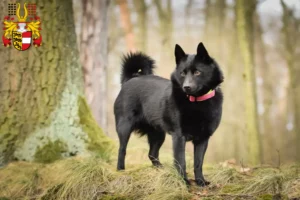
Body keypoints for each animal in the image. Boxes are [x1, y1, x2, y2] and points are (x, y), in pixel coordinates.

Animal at [114, 42, 223, 186]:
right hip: (124, 127)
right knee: (122, 150)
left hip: (158, 133)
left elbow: (198, 163)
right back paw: (121, 170)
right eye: (182, 73)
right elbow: (181, 161)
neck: (196, 101)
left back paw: (161, 170)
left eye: (197, 72)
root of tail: (130, 79)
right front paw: (184, 181)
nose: (186, 87)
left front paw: (200, 181)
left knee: (152, 153)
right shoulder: (179, 137)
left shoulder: (203, 138)